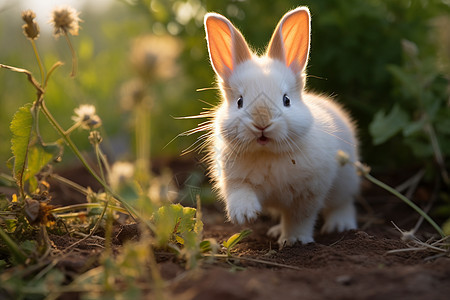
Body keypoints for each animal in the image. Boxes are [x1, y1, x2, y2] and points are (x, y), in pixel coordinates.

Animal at [203, 6, 358, 246]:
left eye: (286, 100)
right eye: (240, 101)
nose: (262, 123)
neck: (268, 153)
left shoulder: (307, 194)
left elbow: (299, 218)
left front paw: (294, 240)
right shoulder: (235, 181)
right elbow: (240, 195)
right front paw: (245, 215)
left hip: (345, 181)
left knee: (343, 203)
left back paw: (339, 225)